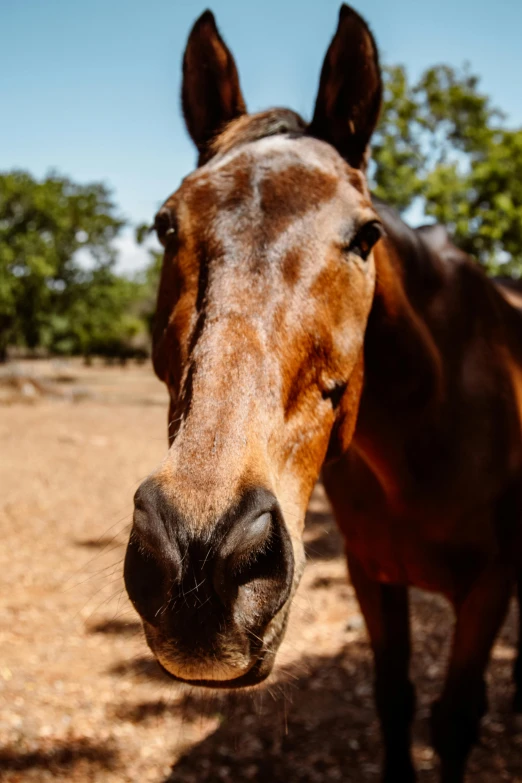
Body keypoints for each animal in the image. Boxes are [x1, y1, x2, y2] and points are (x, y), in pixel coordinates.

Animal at [124, 7, 520, 783]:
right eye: (165, 225)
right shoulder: (373, 574)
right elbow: (393, 697)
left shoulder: (489, 588)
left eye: (366, 235)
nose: (196, 554)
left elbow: (454, 719)